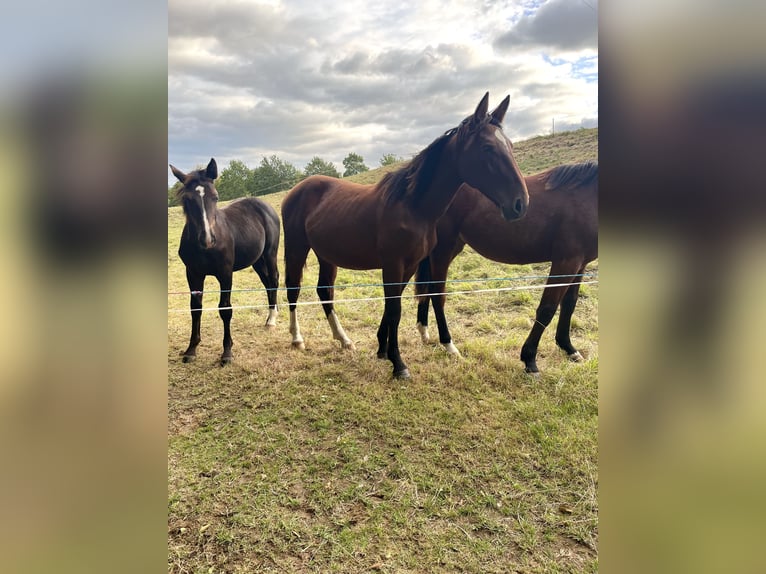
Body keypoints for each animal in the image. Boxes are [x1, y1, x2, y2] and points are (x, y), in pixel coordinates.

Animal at [170, 159, 284, 364]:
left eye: (215, 197)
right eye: (188, 200)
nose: (207, 239)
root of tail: (264, 206)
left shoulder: (225, 273)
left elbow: (225, 309)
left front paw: (227, 352)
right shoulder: (193, 273)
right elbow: (195, 308)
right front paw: (191, 349)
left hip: (270, 254)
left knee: (273, 279)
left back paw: (272, 319)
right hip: (256, 260)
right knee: (266, 282)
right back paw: (272, 313)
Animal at [284, 92, 536, 380]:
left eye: (510, 146)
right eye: (487, 148)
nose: (520, 204)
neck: (412, 206)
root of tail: (297, 189)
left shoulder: (410, 265)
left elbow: (392, 307)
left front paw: (382, 349)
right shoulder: (394, 265)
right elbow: (395, 310)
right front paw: (398, 364)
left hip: (326, 255)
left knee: (325, 291)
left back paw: (344, 339)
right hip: (296, 248)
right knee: (293, 289)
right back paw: (297, 339)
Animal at [414, 162, 600, 376]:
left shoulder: (580, 264)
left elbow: (569, 304)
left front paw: (569, 349)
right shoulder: (566, 262)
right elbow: (547, 309)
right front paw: (530, 360)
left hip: (450, 248)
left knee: (428, 288)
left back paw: (424, 331)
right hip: (443, 249)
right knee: (438, 294)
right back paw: (449, 345)